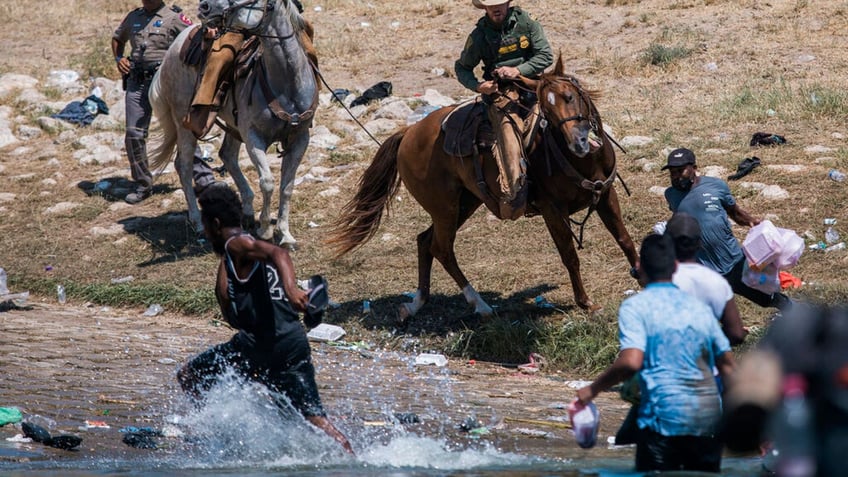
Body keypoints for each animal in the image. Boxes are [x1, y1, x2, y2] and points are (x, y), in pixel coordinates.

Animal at [147, 0, 316, 245]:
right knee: (184, 165)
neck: (287, 84)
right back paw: (198, 222)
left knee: (226, 154)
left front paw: (285, 235)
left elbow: (287, 187)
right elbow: (267, 182)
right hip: (184, 123)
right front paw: (265, 230)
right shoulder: (253, 137)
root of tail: (173, 49)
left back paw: (246, 210)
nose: (204, 7)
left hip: (233, 126)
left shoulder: (300, 138)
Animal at [330, 56, 636, 316]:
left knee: (425, 241)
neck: (581, 160)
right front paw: (586, 303)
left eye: (570, 97)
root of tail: (408, 133)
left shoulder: (606, 194)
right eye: (546, 110)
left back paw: (417, 303)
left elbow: (625, 239)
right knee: (441, 248)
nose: (579, 143)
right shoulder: (552, 211)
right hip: (445, 208)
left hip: (464, 203)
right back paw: (479, 304)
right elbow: (569, 256)